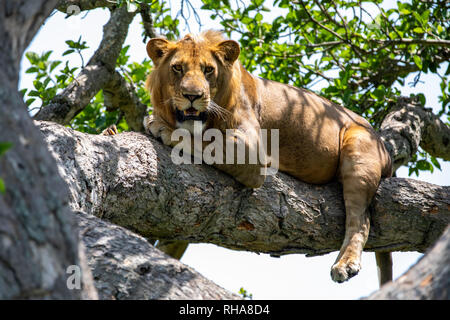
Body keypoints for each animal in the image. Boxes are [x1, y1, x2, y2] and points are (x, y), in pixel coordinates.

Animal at [142, 30, 392, 284]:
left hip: (358, 150)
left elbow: (202, 139)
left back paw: (345, 264)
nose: (192, 96)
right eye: (177, 68)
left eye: (208, 70)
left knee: (361, 220)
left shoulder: (251, 150)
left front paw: (160, 126)